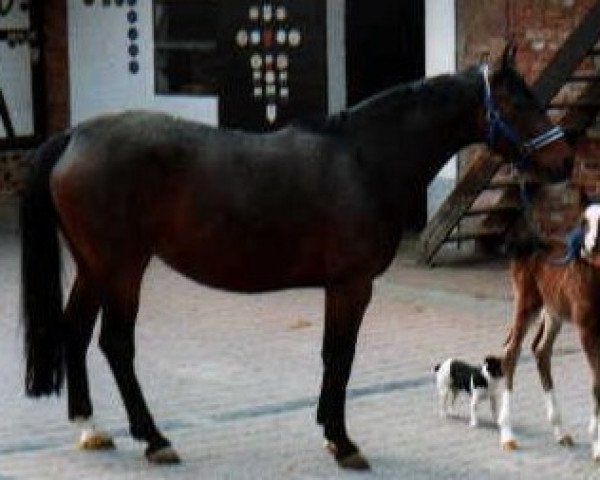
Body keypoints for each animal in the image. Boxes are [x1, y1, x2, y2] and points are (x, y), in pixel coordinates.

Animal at [18, 46, 572, 468]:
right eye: (518, 103)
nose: (564, 163)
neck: (365, 159)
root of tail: (74, 136)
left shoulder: (339, 286)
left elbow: (332, 356)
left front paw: (330, 431)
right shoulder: (351, 285)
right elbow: (340, 357)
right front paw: (342, 441)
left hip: (93, 266)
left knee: (75, 330)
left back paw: (90, 426)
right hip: (122, 268)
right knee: (115, 344)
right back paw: (154, 438)